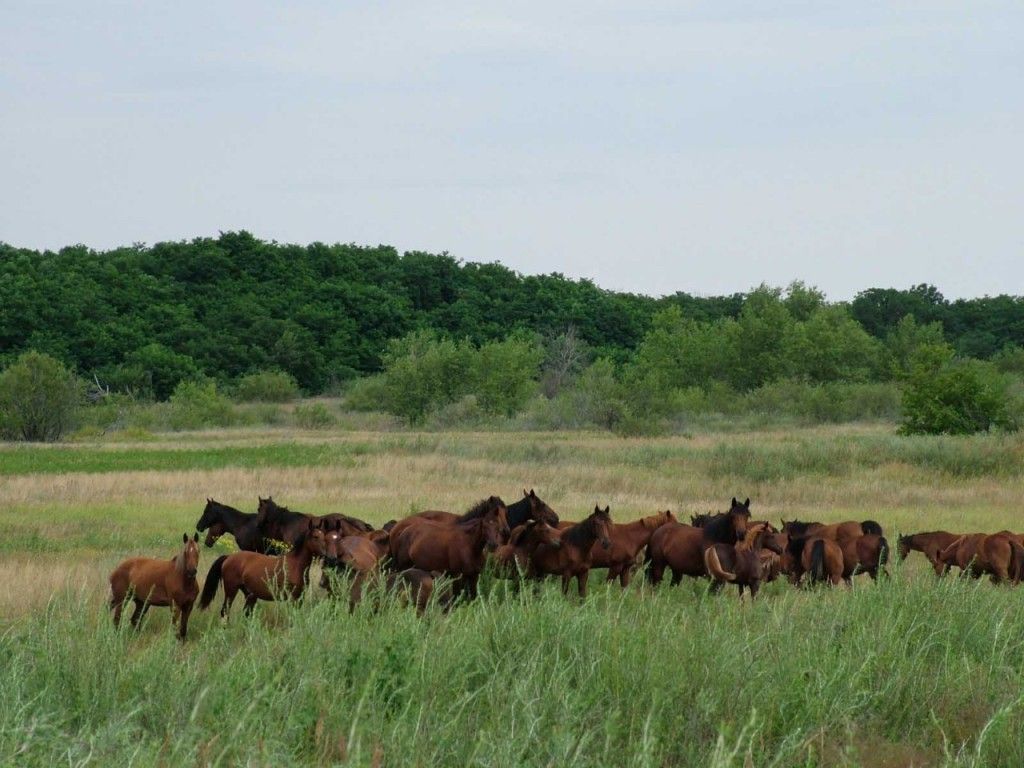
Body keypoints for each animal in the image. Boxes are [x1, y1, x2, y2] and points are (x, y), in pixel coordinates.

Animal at [197, 518, 325, 618]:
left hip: (250, 595)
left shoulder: (299, 598)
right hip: (231, 590)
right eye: (315, 537)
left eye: (323, 536)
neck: (295, 565)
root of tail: (228, 557)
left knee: (246, 613)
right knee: (225, 611)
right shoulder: (292, 597)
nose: (326, 554)